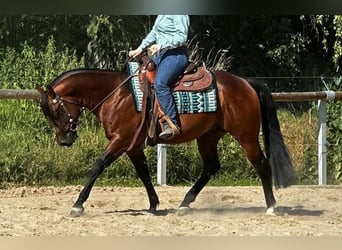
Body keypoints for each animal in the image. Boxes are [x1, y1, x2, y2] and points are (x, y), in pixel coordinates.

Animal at [36, 64, 294, 217]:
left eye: (55, 111)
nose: (64, 140)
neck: (117, 95)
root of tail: (246, 82)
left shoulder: (120, 141)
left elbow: (98, 166)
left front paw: (78, 204)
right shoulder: (132, 146)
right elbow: (143, 172)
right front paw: (153, 204)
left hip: (246, 136)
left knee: (261, 164)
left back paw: (271, 207)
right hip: (208, 137)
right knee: (211, 167)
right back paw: (184, 204)